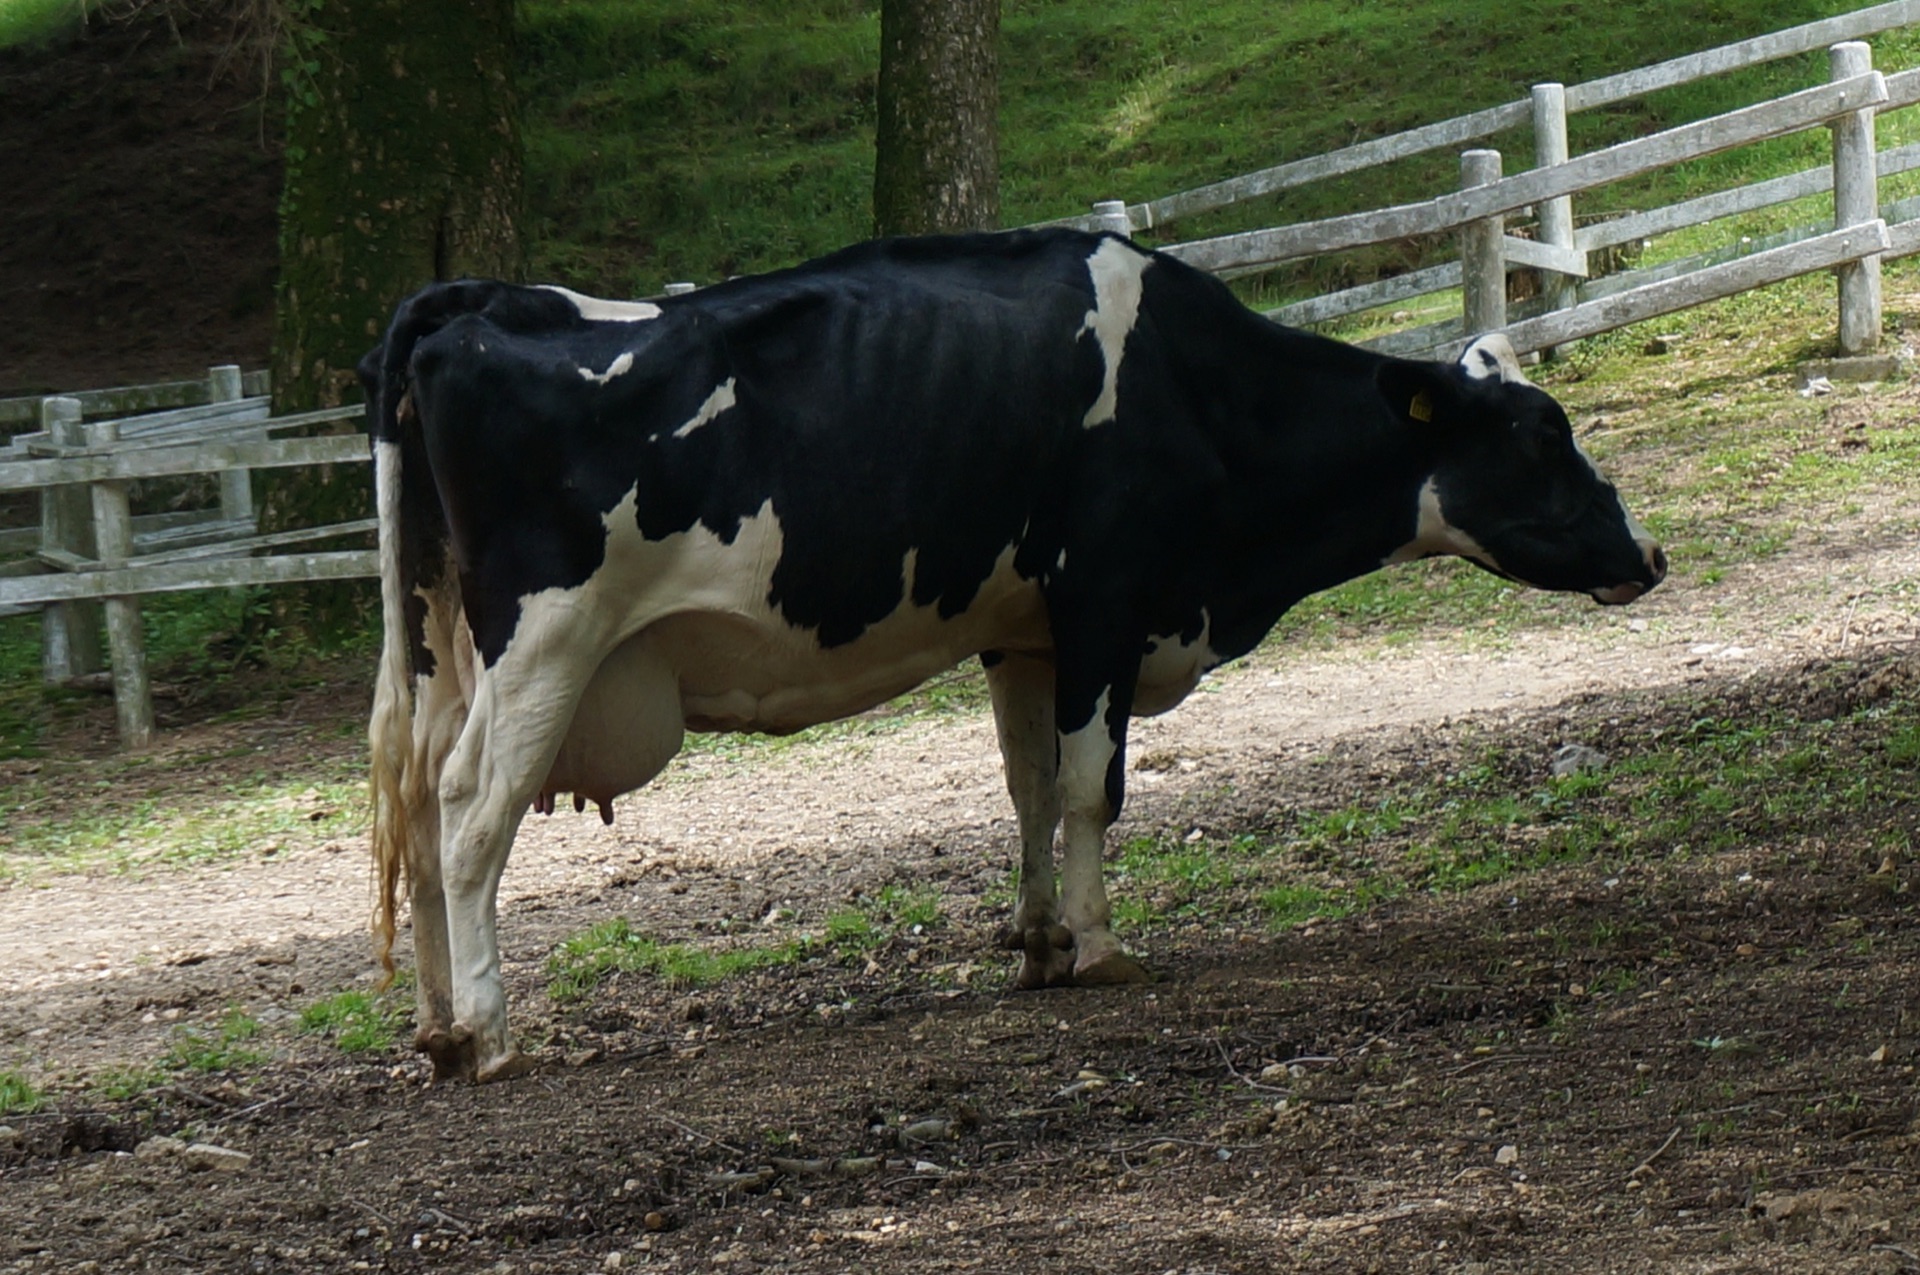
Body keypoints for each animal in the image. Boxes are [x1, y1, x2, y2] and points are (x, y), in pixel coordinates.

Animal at [362, 231, 1666, 1082]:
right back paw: (491, 1031)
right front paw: (1098, 949)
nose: (1646, 553)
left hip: (441, 653)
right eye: (1540, 437)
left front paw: (1039, 940)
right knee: (473, 813)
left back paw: (436, 1025)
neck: (1200, 392)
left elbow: (1030, 786)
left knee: (420, 814)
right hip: (547, 635)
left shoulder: (1022, 633)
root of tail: (475, 304)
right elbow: (1092, 788)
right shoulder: (1105, 599)